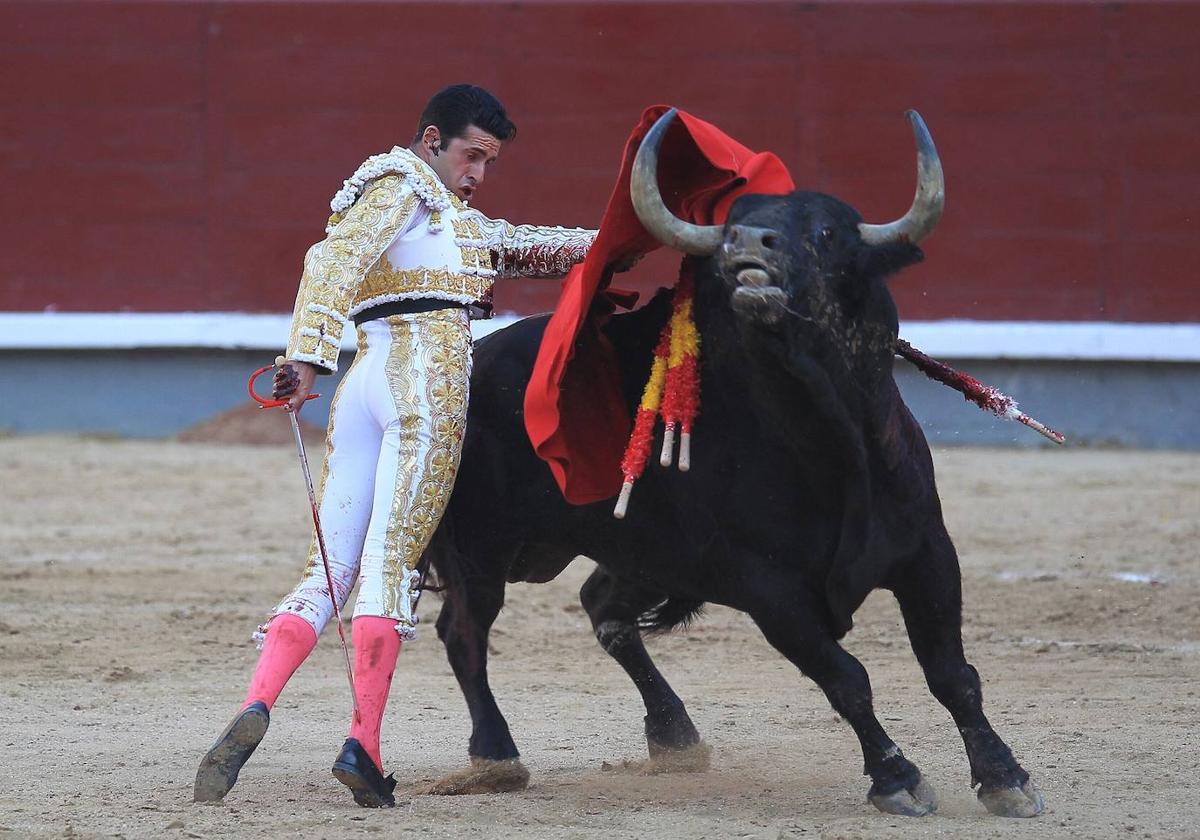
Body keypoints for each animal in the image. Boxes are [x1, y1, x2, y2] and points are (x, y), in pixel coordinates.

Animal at [422, 108, 1041, 816]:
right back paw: (497, 756)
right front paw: (897, 778)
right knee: (465, 633)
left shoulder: (928, 553)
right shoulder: (768, 588)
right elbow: (846, 678)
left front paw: (1004, 776)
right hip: (481, 548)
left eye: (826, 232)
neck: (830, 443)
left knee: (600, 604)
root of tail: (472, 368)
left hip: (651, 554)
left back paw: (674, 735)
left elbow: (951, 673)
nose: (748, 242)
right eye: (728, 233)